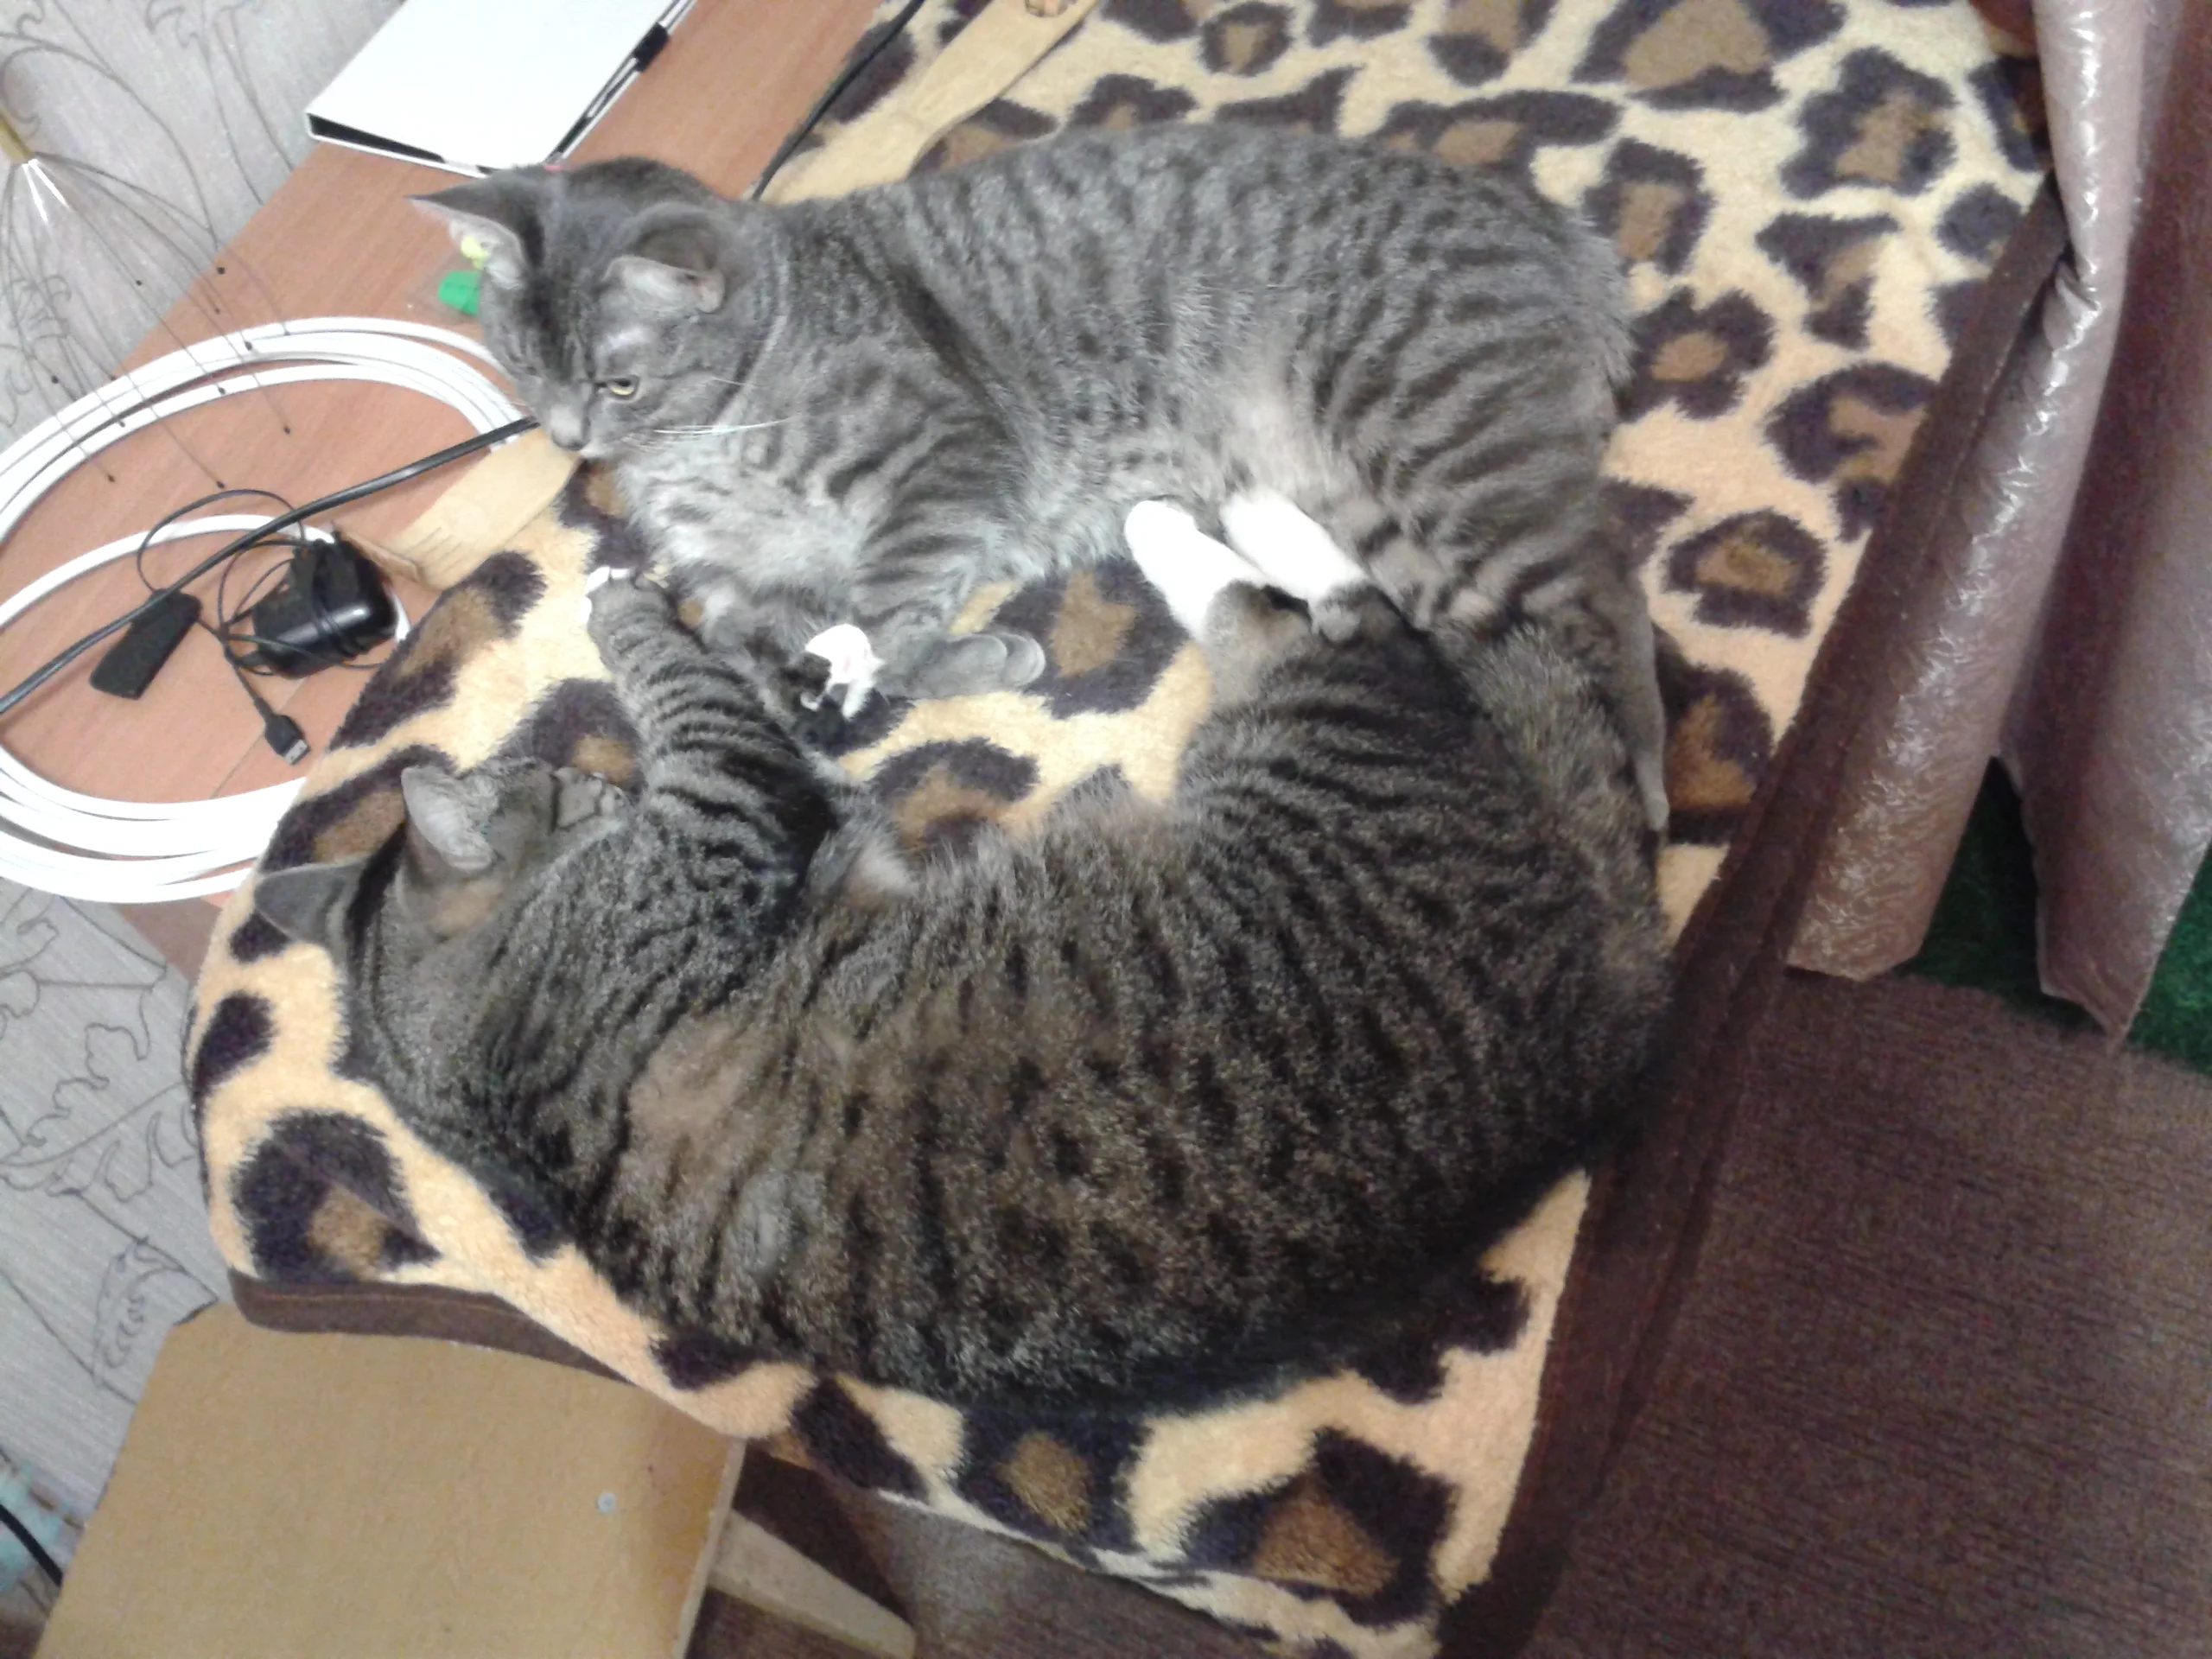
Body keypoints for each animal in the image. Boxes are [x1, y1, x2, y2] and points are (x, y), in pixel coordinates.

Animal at [253, 495, 1668, 1410]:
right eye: (560, 782)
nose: (594, 784)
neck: (475, 1066)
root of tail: (1603, 1030)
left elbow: (749, 680)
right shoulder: (732, 810)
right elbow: (685, 683)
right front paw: (621, 608)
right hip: (1303, 742)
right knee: (1331, 622)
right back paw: (1200, 516)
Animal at [418, 122, 1670, 831]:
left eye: (618, 382)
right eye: (523, 366)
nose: (569, 437)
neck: (711, 431)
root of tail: (1545, 224)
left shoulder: (945, 463)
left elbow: (894, 614)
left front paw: (894, 658)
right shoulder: (736, 590)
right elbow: (775, 648)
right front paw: (865, 677)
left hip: (1437, 459)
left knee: (1603, 601)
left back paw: (1632, 786)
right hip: (1379, 503)